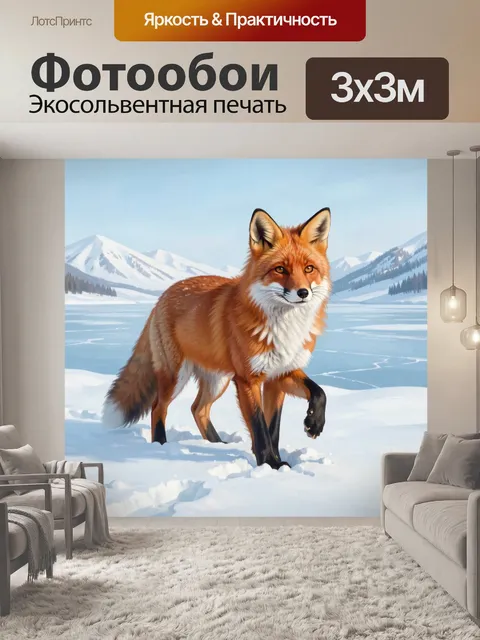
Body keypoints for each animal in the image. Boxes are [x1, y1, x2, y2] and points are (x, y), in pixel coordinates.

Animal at [103, 208, 332, 469]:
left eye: (309, 269)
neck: (284, 329)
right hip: (176, 376)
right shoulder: (248, 379)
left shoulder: (280, 374)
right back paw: (160, 445)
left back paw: (218, 444)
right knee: (157, 407)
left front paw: (312, 426)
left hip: (217, 380)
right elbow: (260, 428)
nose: (303, 293)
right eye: (280, 269)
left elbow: (310, 399)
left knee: (197, 409)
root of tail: (163, 295)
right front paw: (269, 464)